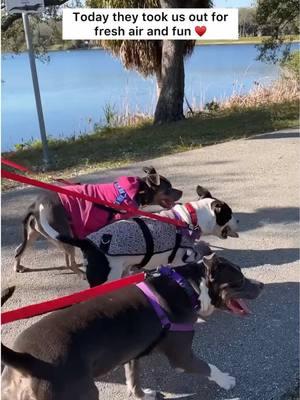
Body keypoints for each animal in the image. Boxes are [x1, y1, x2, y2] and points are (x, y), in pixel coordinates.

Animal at [1, 255, 262, 398]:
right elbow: (209, 367)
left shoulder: (132, 354)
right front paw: (225, 380)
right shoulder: (182, 357)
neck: (188, 285)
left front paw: (143, 395)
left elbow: (133, 380)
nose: (261, 285)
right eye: (239, 281)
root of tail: (25, 360)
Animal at [59, 186, 240, 286]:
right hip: (107, 278)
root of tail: (87, 243)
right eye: (229, 214)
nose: (238, 219)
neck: (189, 218)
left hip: (122, 271)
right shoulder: (180, 260)